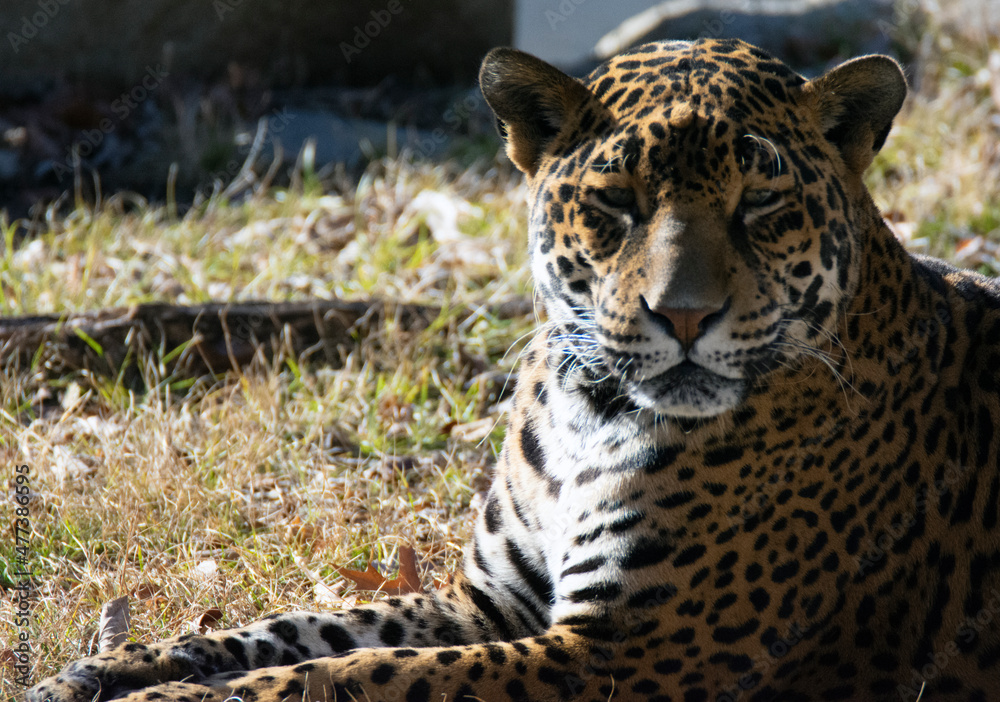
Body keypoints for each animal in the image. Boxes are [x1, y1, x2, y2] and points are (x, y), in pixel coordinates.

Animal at [29, 36, 1000, 702]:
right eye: (616, 203)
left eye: (761, 205)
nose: (684, 315)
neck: (591, 411)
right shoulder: (490, 604)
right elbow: (299, 632)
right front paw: (107, 670)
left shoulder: (624, 654)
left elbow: (361, 675)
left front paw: (166, 697)